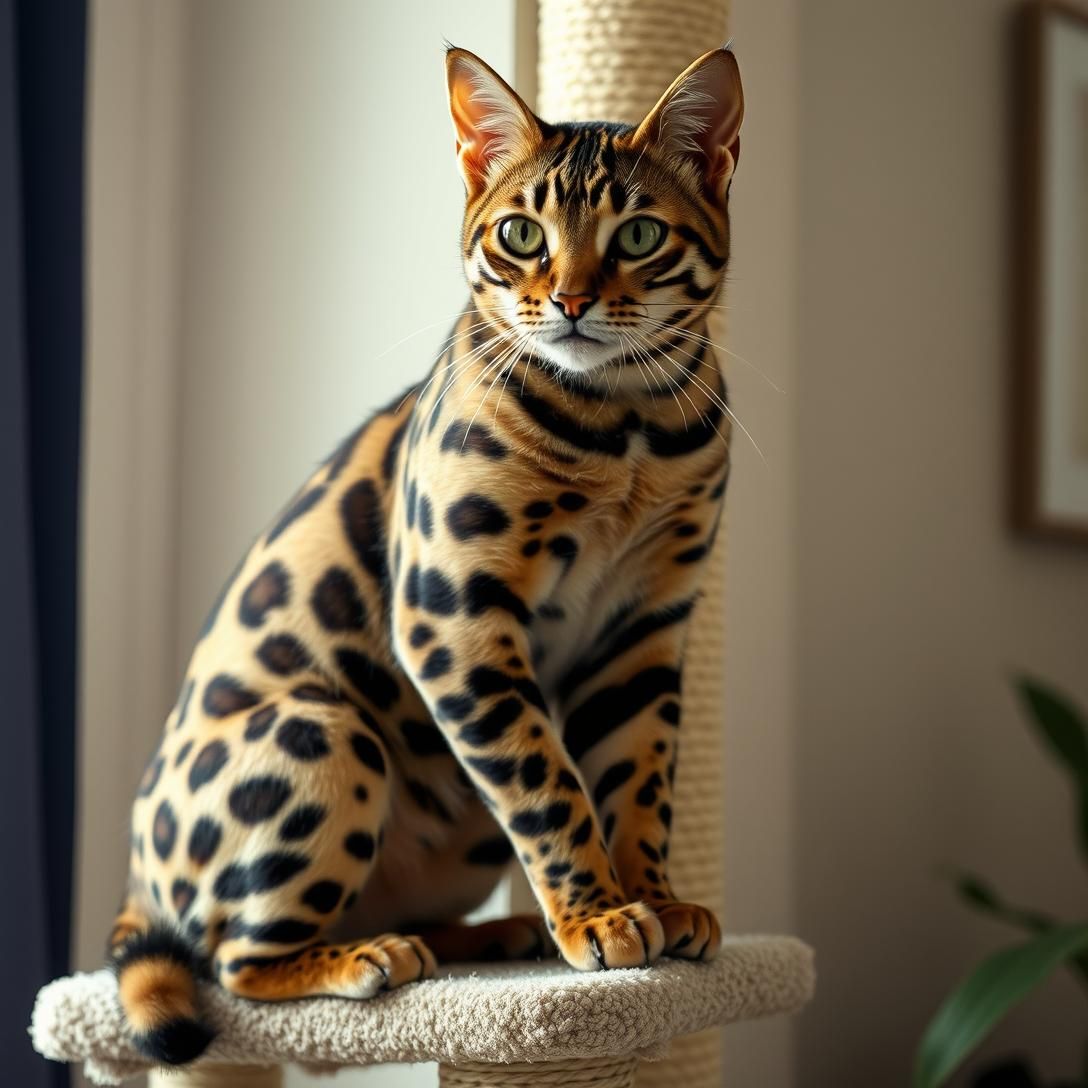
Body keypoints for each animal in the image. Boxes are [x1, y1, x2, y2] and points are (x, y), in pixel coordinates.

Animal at [108, 44, 744, 1066]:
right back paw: (369, 958)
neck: (627, 433)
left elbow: (638, 784)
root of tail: (133, 879)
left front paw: (653, 900)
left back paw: (494, 935)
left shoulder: (645, 631)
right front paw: (602, 918)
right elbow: (550, 786)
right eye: (522, 234)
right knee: (236, 964)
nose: (570, 302)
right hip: (325, 733)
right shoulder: (456, 616)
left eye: (641, 234)